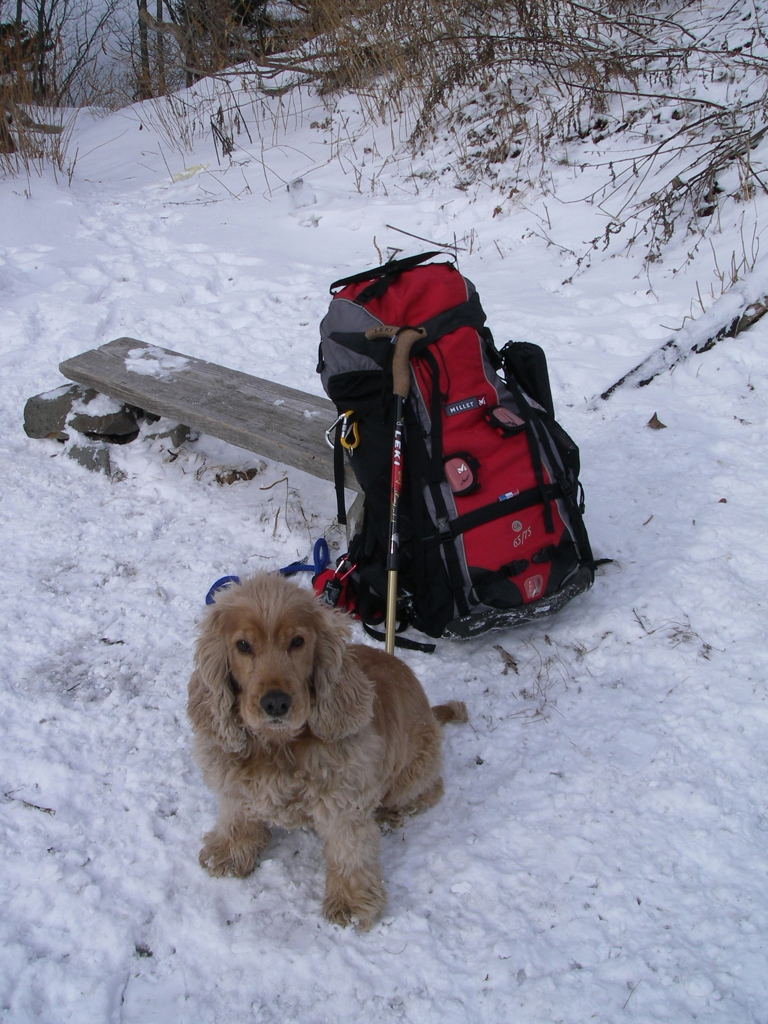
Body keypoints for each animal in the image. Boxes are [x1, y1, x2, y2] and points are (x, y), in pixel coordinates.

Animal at [189, 573, 466, 933]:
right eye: (243, 646)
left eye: (297, 642)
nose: (275, 703)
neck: (278, 746)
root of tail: (431, 712)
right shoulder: (233, 782)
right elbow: (236, 814)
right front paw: (226, 853)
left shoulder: (344, 802)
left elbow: (349, 851)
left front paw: (349, 904)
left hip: (413, 769)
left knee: (431, 789)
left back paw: (389, 815)